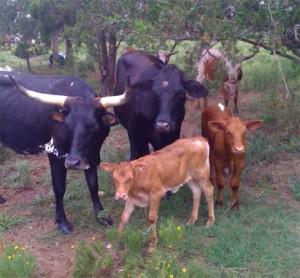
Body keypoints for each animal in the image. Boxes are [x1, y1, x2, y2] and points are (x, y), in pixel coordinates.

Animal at [0, 70, 131, 233]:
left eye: (93, 127)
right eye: (67, 126)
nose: (72, 162)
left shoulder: (92, 156)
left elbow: (93, 184)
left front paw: (101, 216)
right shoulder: (56, 154)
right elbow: (59, 187)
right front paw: (62, 221)